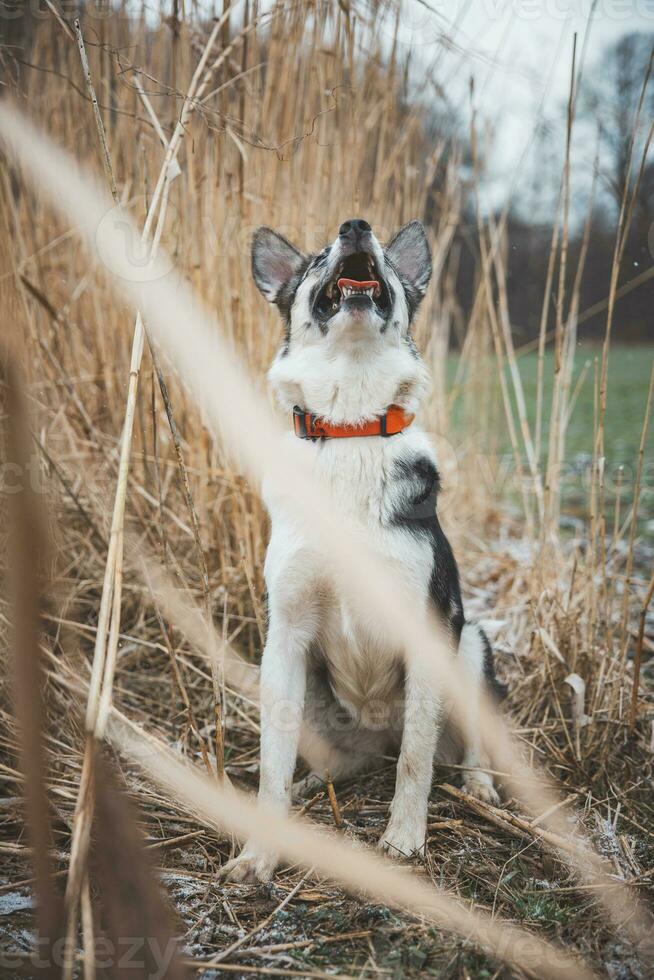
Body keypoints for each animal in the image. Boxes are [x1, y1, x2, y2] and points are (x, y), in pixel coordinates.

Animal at [224, 218, 508, 884]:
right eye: (318, 259)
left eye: (384, 259)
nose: (356, 227)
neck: (350, 427)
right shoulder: (286, 636)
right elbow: (271, 764)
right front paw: (260, 853)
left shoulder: (430, 627)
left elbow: (415, 762)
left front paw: (404, 842)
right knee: (341, 761)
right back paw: (316, 784)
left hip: (470, 650)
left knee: (459, 747)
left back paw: (480, 787)